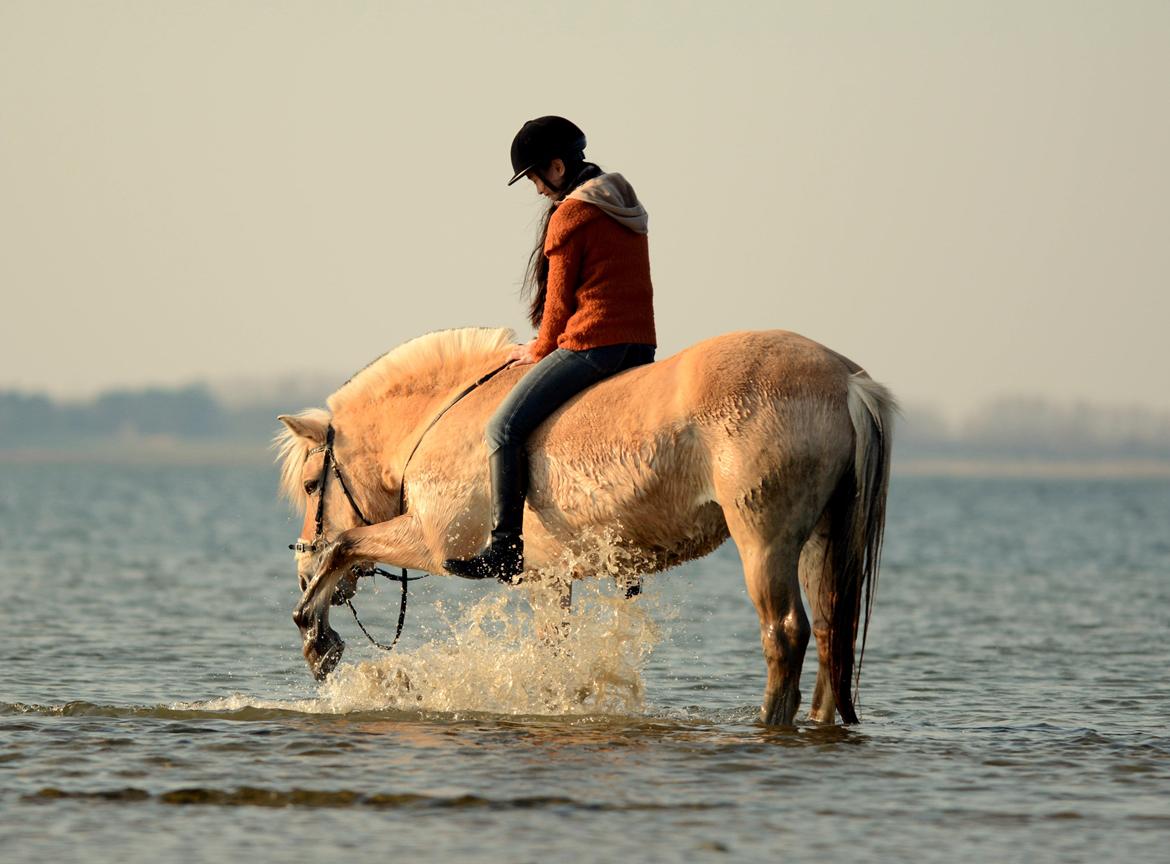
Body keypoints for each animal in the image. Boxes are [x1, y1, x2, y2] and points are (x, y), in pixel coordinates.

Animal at [276, 325, 893, 725]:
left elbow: (344, 545)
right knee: (831, 633)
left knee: (786, 634)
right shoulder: (547, 579)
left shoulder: (430, 539)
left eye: (309, 485)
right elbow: (553, 653)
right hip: (818, 542)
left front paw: (317, 639)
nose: (298, 565)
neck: (449, 418)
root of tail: (845, 381)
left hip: (764, 543)